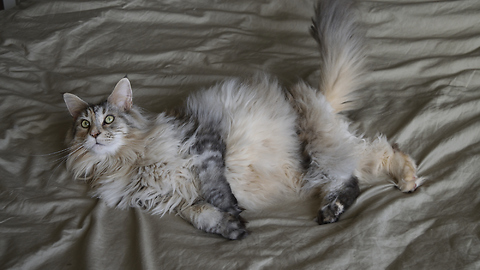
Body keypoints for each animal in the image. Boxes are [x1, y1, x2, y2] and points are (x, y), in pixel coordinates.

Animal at [62, 0, 424, 240]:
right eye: (84, 125)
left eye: (109, 119)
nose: (95, 134)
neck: (129, 162)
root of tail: (317, 96)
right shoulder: (174, 199)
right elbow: (200, 214)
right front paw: (230, 227)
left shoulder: (203, 140)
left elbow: (215, 189)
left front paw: (232, 209)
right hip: (315, 162)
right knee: (354, 175)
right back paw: (334, 208)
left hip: (318, 145)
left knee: (376, 154)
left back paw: (405, 179)